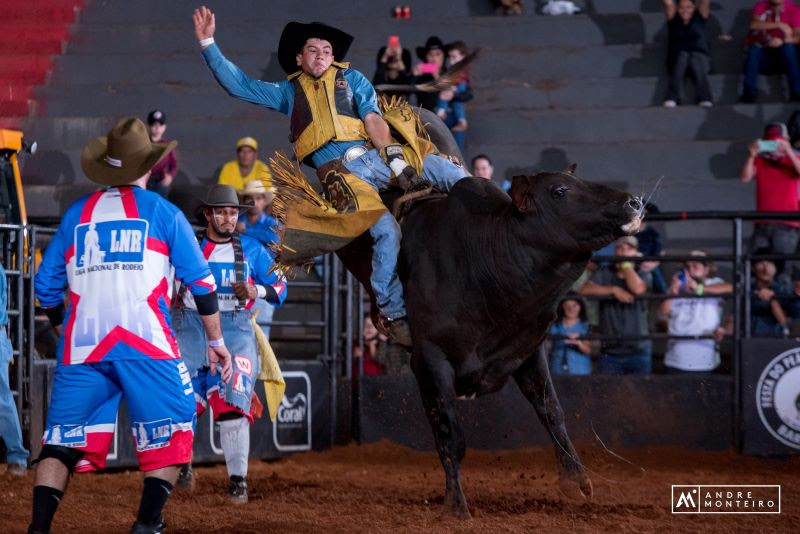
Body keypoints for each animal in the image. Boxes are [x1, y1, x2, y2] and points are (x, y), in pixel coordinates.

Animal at [334, 112, 640, 520]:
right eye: (559, 191)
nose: (633, 202)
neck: (486, 261)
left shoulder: (526, 349)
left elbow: (551, 409)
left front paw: (576, 482)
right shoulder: (430, 359)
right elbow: (450, 436)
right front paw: (455, 505)